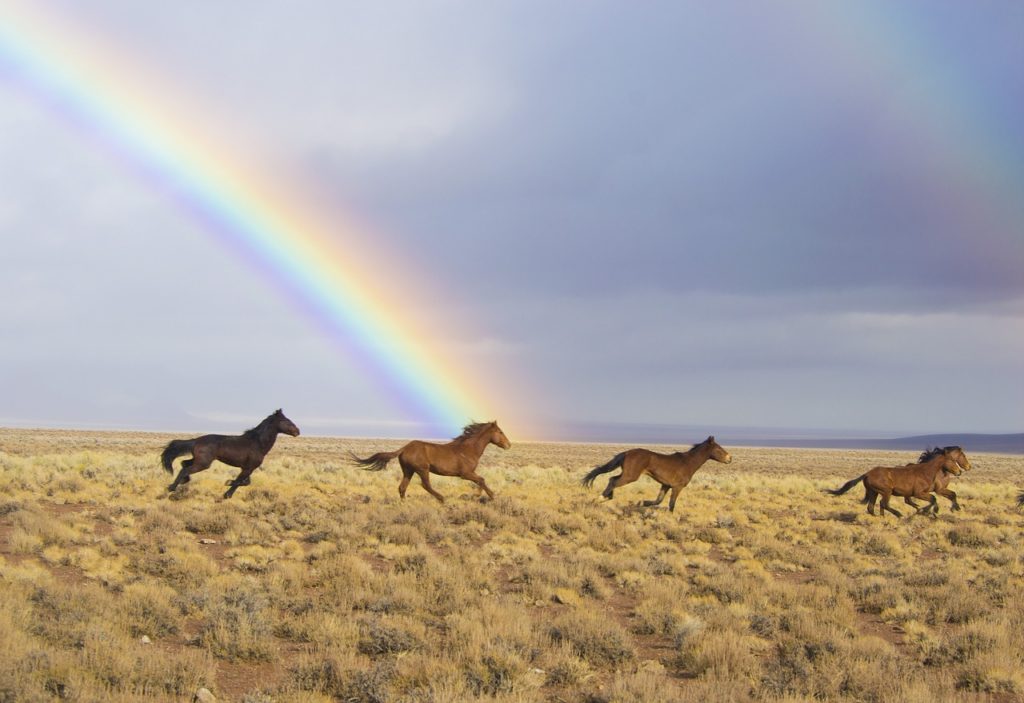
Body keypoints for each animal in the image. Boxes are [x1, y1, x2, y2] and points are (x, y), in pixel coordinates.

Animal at [157, 407, 299, 501]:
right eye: (287, 421)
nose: (298, 431)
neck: (258, 443)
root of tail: (196, 440)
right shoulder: (248, 469)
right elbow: (239, 482)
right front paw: (227, 492)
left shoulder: (248, 468)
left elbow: (245, 483)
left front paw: (228, 483)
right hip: (203, 463)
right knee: (185, 469)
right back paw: (172, 487)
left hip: (199, 460)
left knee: (184, 464)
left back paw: (181, 482)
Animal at [352, 421, 512, 503]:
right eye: (500, 432)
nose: (509, 445)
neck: (468, 449)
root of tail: (404, 448)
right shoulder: (465, 473)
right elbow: (481, 480)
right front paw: (489, 496)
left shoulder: (469, 473)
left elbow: (480, 481)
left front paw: (477, 495)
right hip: (422, 469)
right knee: (425, 485)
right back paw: (442, 498)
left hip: (408, 471)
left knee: (402, 487)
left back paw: (404, 504)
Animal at [581, 433, 733, 511]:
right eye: (719, 449)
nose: (730, 458)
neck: (688, 463)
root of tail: (627, 452)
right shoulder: (677, 487)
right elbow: (671, 505)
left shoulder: (665, 485)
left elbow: (658, 501)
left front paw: (641, 503)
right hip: (631, 476)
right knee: (613, 481)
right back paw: (600, 498)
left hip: (627, 474)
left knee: (612, 479)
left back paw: (607, 497)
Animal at [827, 448, 962, 519]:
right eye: (952, 460)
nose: (959, 472)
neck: (925, 471)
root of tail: (867, 474)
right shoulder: (918, 493)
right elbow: (933, 499)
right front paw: (928, 511)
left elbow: (933, 499)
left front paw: (927, 511)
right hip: (886, 491)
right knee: (883, 504)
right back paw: (898, 514)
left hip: (874, 492)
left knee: (871, 507)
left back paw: (880, 517)